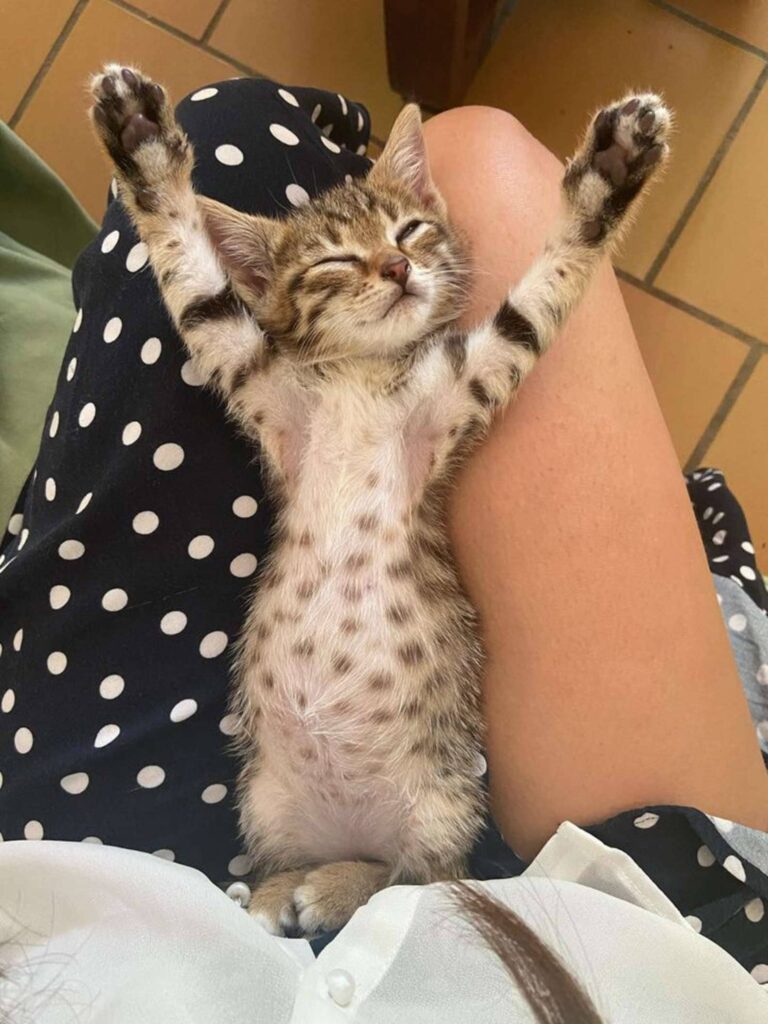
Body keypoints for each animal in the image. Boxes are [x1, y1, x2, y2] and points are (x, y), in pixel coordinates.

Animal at [88, 66, 667, 937]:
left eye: (413, 231)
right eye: (334, 260)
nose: (396, 269)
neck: (365, 371)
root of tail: (346, 830)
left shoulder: (468, 383)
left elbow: (538, 299)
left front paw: (612, 170)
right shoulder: (251, 376)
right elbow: (196, 287)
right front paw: (144, 151)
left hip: (440, 808)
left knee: (413, 883)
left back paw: (330, 889)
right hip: (270, 802)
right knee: (338, 871)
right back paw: (273, 894)